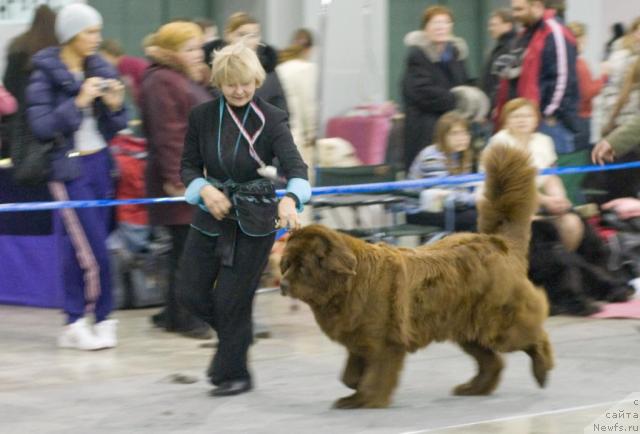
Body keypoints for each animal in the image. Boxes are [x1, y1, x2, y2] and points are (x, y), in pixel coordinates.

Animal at [280, 144, 556, 408]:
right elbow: (350, 372)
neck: (351, 282)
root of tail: (498, 242)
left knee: (534, 336)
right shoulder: (358, 338)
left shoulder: (383, 341)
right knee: (492, 361)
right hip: (467, 328)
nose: (282, 284)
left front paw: (367, 400)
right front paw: (353, 391)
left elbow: (377, 373)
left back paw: (542, 370)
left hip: (499, 323)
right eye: (286, 264)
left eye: (302, 266)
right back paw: (473, 388)